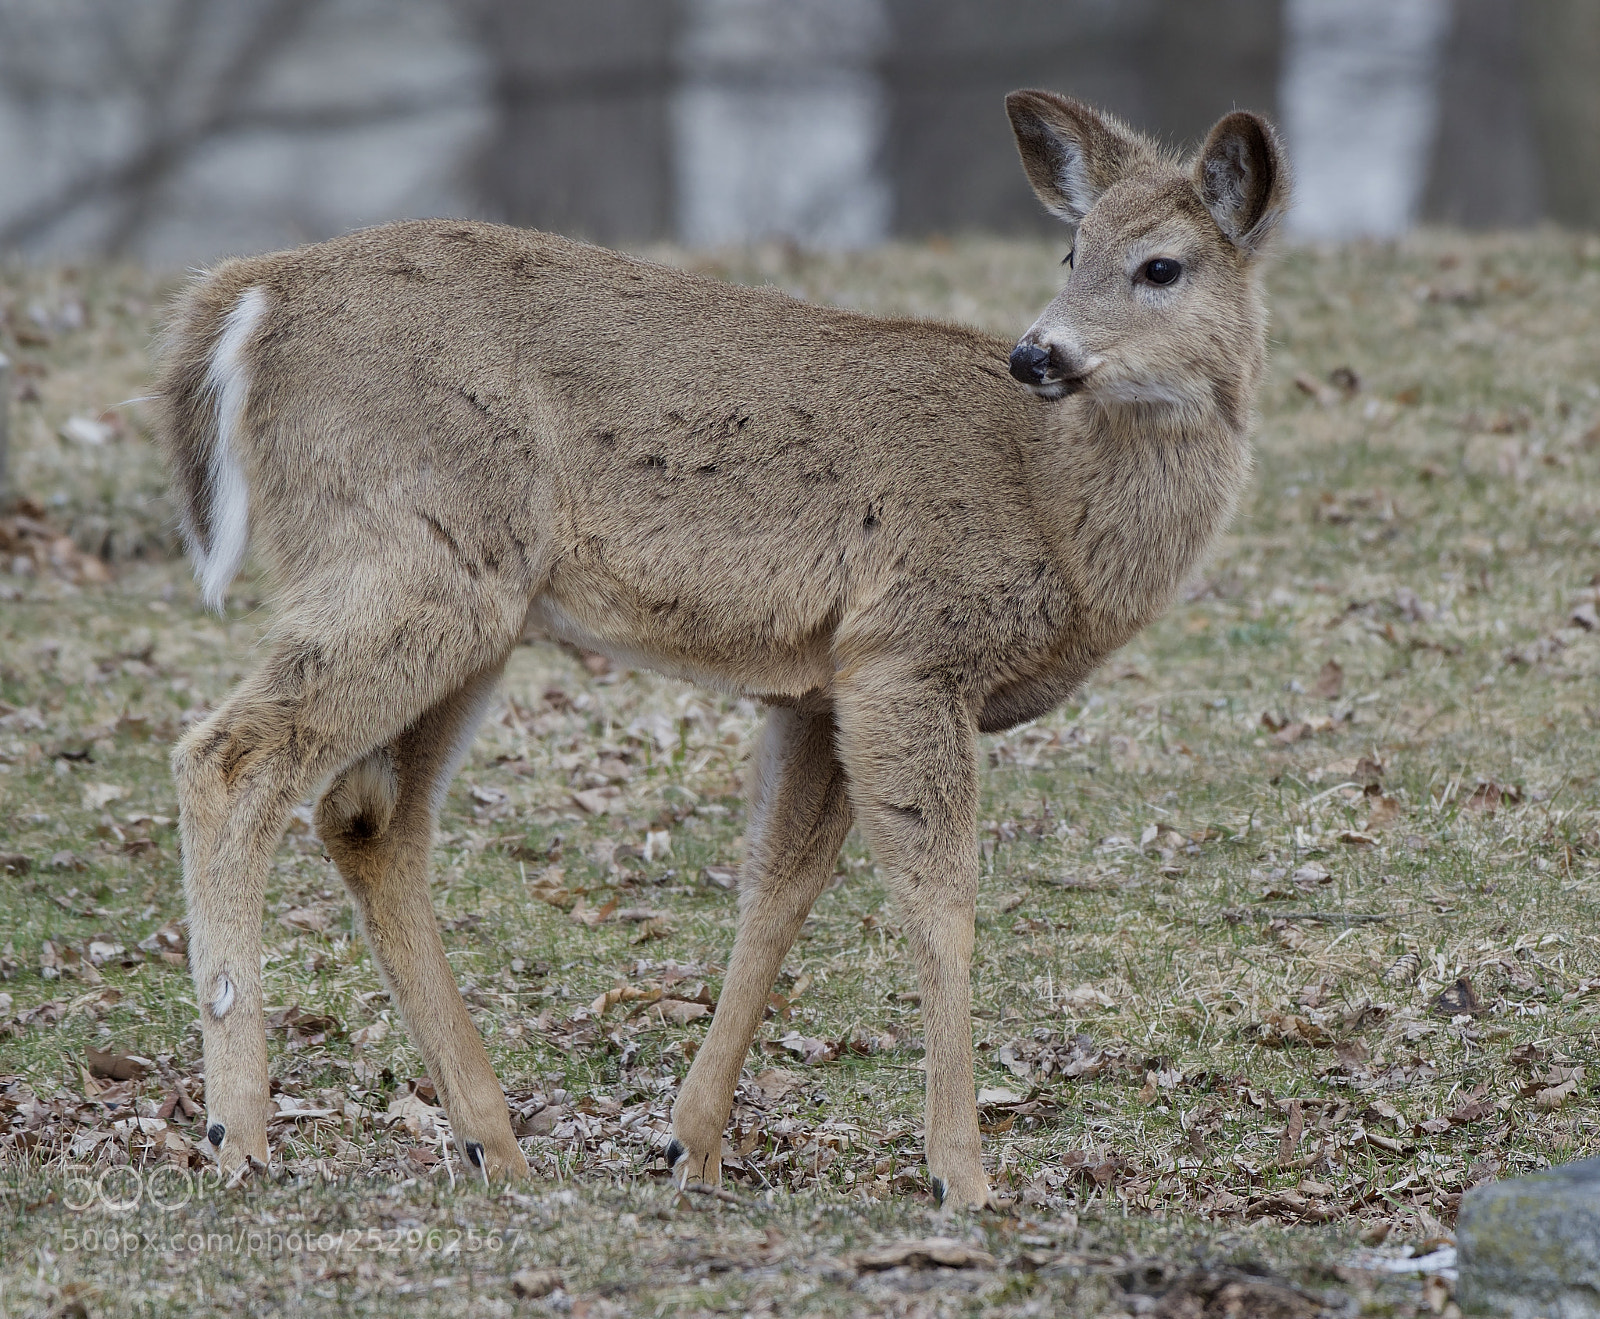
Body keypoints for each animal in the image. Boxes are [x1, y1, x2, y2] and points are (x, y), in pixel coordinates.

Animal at [151, 90, 1287, 1208]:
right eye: (1073, 250)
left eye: (1159, 265)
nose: (1037, 354)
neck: (1053, 501)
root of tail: (256, 292)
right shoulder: (908, 650)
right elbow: (942, 902)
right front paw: (961, 1172)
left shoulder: (820, 684)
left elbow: (778, 889)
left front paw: (688, 1145)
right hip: (407, 560)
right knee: (230, 756)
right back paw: (238, 1132)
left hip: (466, 602)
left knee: (368, 816)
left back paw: (493, 1145)